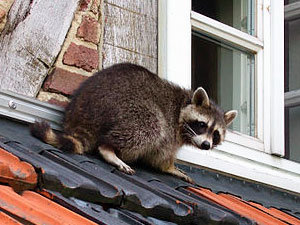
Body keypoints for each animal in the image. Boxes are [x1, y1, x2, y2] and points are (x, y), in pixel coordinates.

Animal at [31, 62, 237, 183]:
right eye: (202, 125)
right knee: (151, 127)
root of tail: (85, 113)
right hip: (128, 108)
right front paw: (169, 167)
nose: (206, 145)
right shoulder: (171, 130)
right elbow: (161, 156)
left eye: (216, 134)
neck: (183, 104)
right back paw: (109, 149)